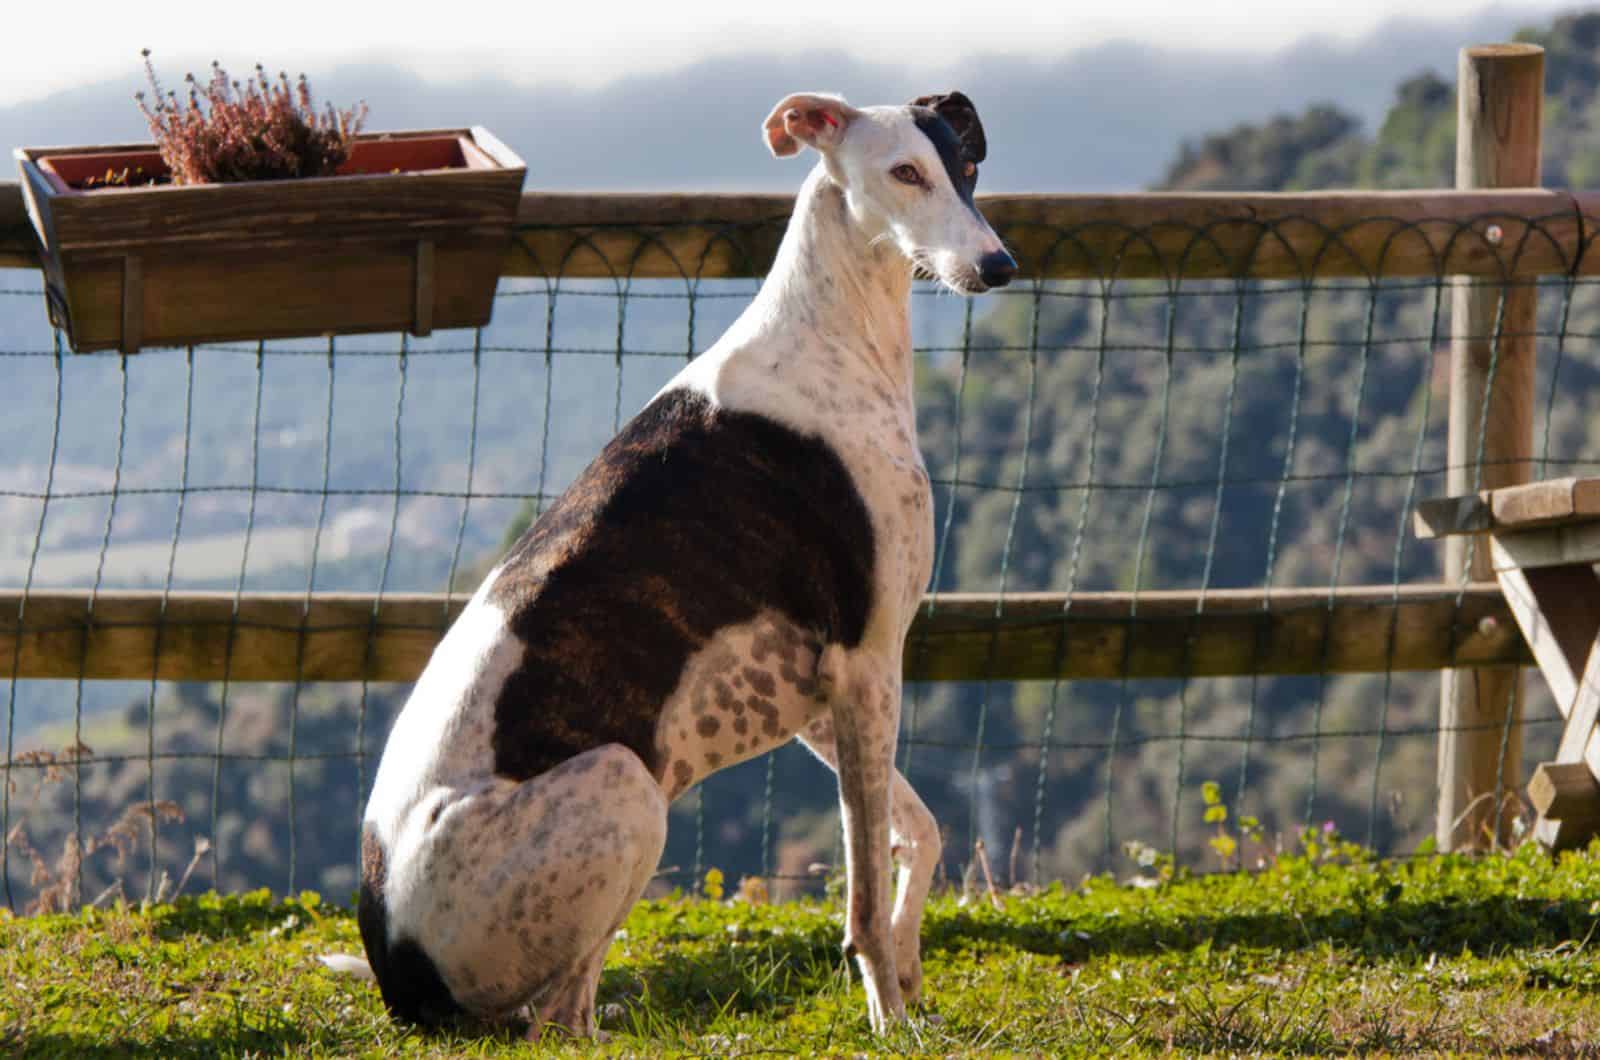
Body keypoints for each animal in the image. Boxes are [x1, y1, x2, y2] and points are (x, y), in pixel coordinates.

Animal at [340, 89, 1011, 1037]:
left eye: (967, 165)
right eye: (904, 173)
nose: (998, 266)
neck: (825, 338)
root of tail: (399, 973)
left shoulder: (818, 693)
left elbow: (918, 831)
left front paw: (912, 973)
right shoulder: (869, 659)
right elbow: (863, 902)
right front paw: (892, 1017)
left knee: (571, 1013)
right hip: (625, 788)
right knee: (557, 1020)